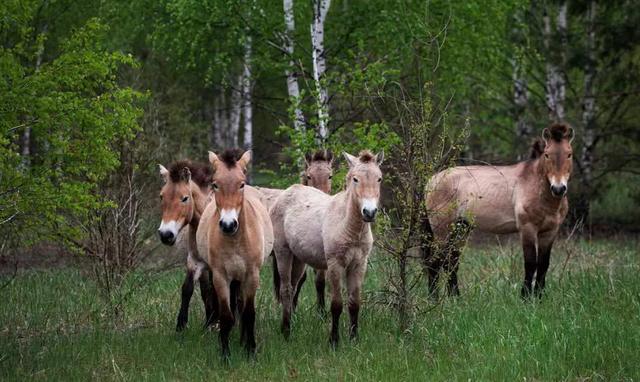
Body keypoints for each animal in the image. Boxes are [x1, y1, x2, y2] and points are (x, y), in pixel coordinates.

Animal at [157, 160, 218, 332]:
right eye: (161, 196)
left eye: (184, 198)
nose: (166, 235)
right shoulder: (195, 261)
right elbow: (188, 288)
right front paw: (181, 325)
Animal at [196, 149, 274, 358]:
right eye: (215, 184)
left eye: (241, 184)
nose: (228, 224)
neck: (235, 241)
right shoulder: (220, 277)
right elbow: (226, 316)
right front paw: (225, 354)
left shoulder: (252, 276)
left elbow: (248, 314)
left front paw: (250, 350)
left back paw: (242, 341)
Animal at [268, 151, 382, 348]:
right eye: (355, 179)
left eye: (379, 179)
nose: (369, 212)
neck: (348, 225)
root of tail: (287, 192)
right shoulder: (335, 264)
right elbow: (336, 304)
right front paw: (334, 341)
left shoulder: (359, 264)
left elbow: (354, 303)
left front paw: (354, 339)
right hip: (283, 253)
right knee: (285, 290)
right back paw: (286, 332)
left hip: (299, 260)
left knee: (293, 287)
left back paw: (288, 326)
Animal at [424, 124, 576, 296]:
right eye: (547, 154)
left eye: (569, 154)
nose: (558, 189)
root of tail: (431, 181)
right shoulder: (527, 229)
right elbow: (530, 263)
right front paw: (525, 297)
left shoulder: (550, 232)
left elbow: (543, 265)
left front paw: (539, 297)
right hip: (442, 231)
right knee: (435, 262)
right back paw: (433, 298)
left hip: (461, 228)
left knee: (451, 262)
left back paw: (455, 298)